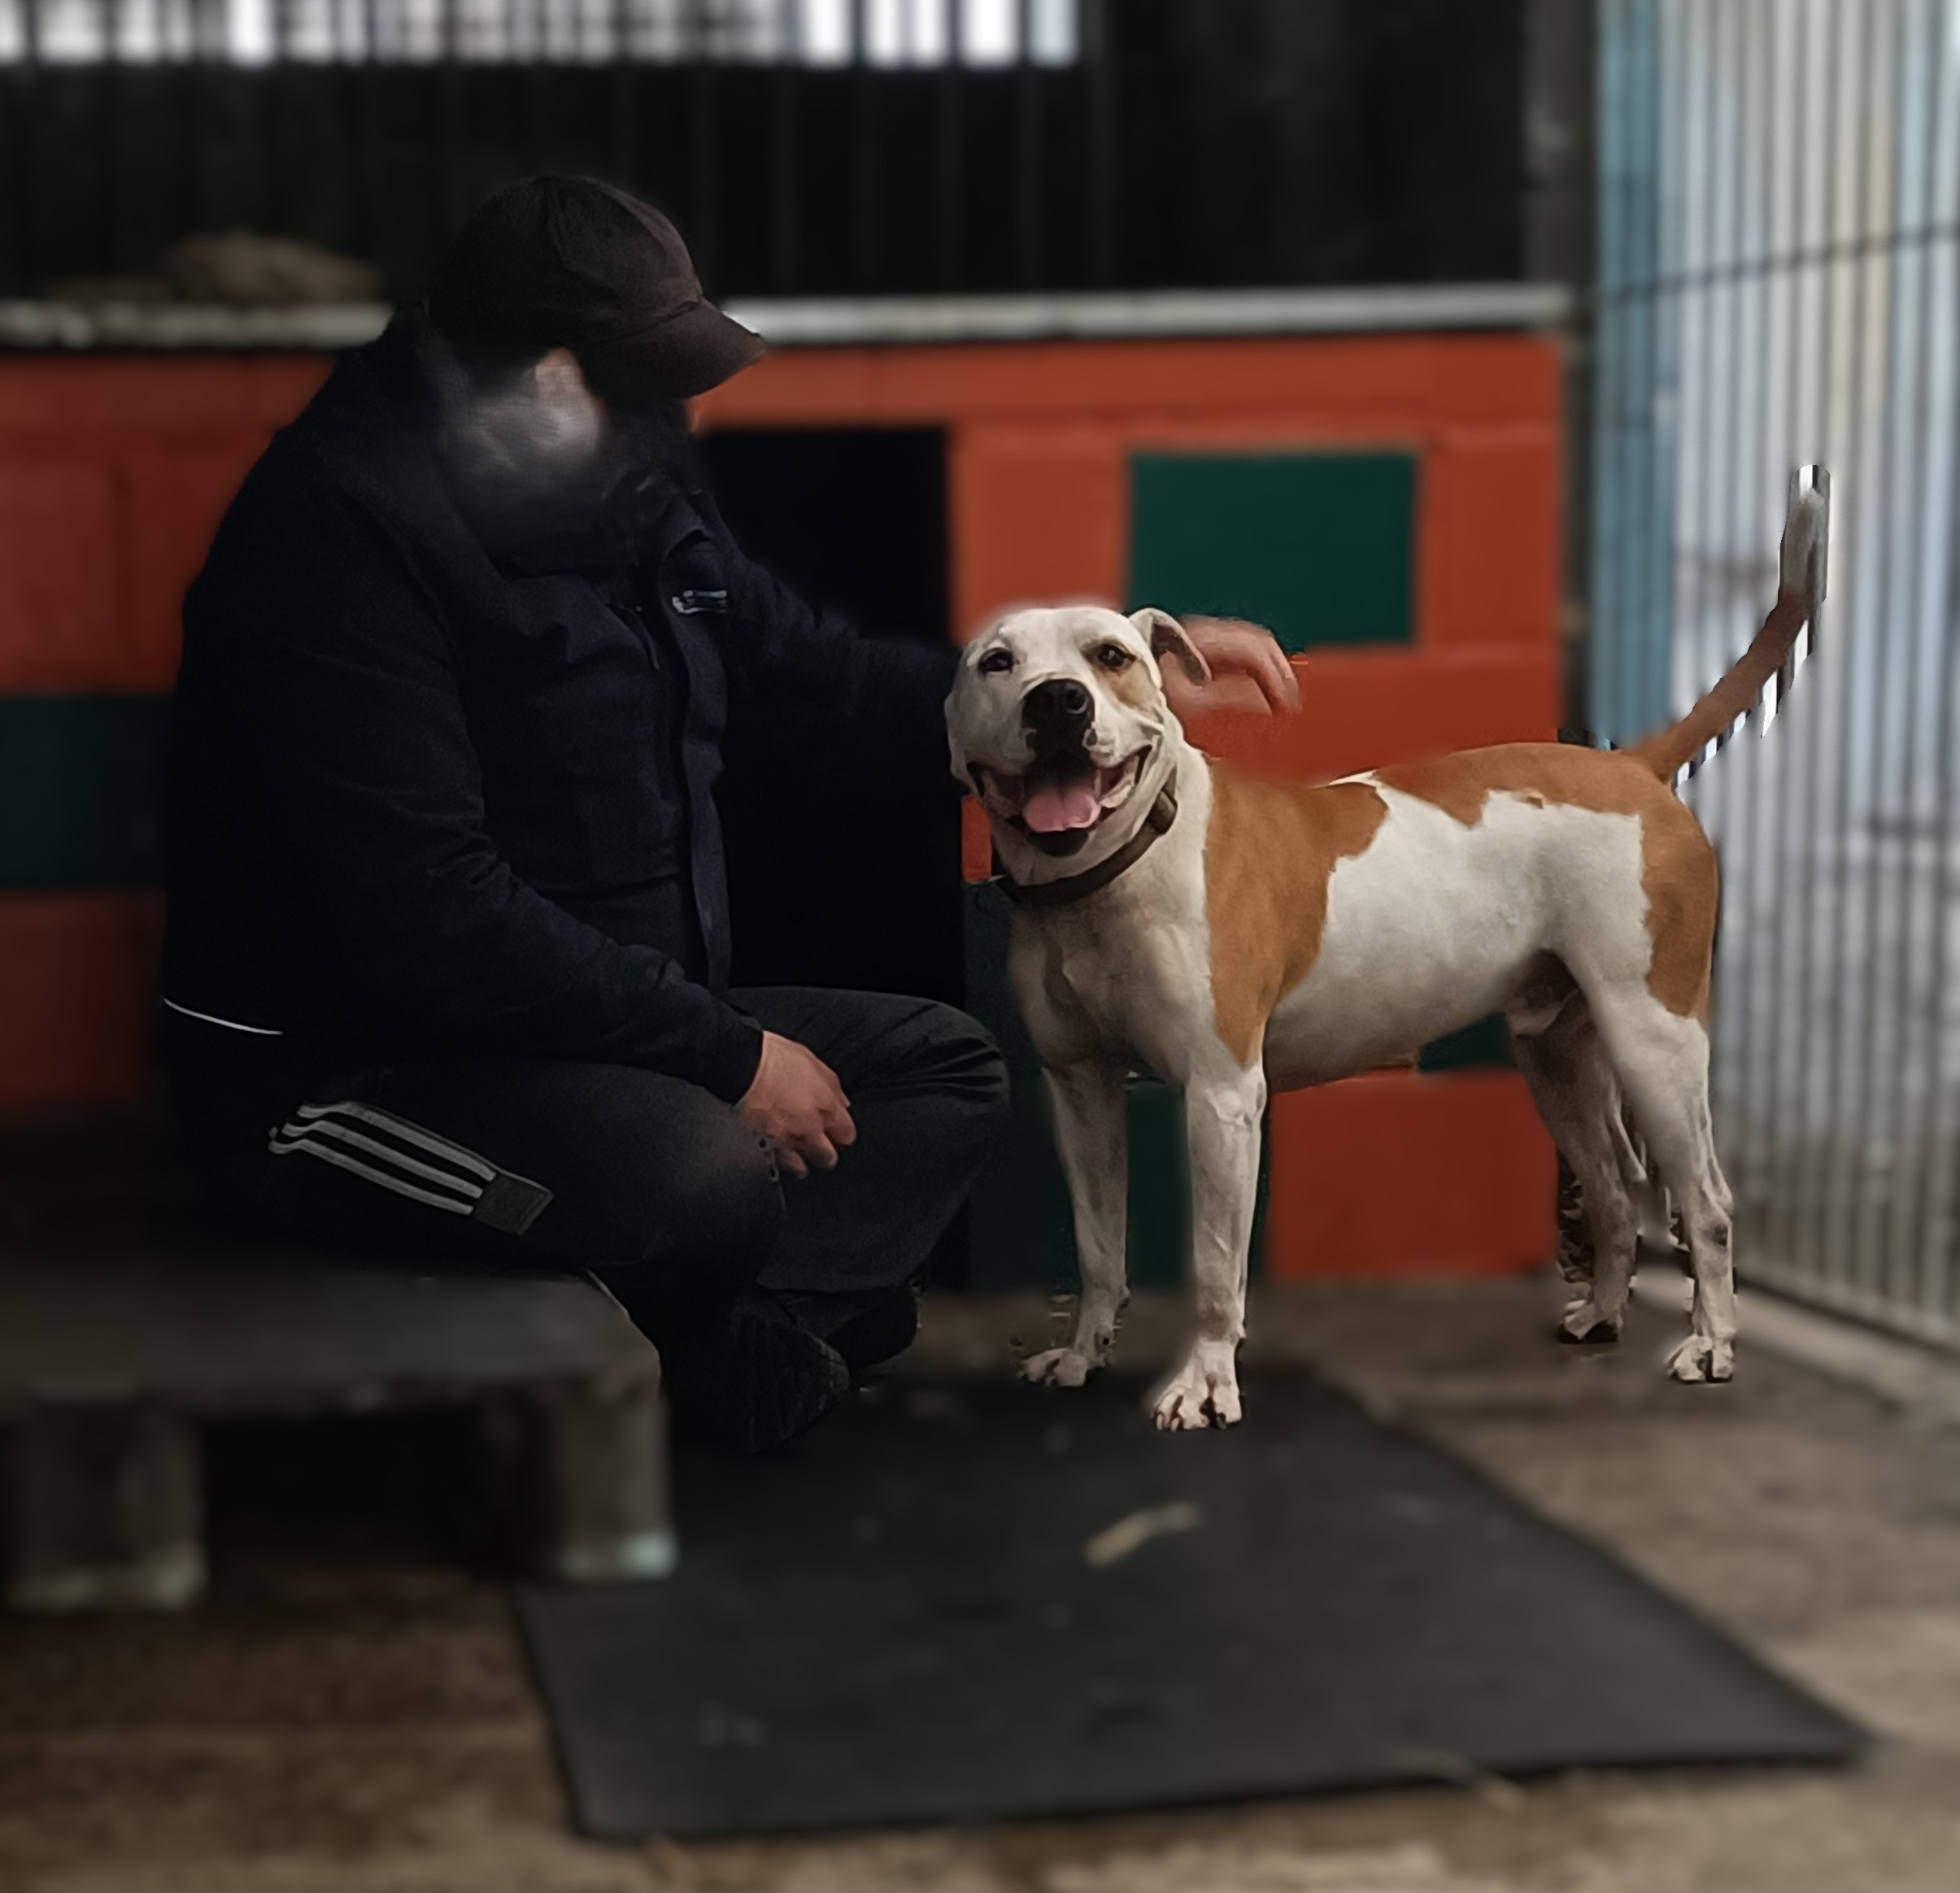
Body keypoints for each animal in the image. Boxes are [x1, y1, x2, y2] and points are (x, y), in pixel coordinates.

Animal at [945, 480, 1828, 1429]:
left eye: (1110, 656)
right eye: (996, 663)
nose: (1057, 702)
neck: (1112, 871)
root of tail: (1633, 767)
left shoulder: (1221, 1095)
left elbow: (1217, 1263)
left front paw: (1206, 1383)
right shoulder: (1079, 1092)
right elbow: (1098, 1244)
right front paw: (1082, 1354)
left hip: (1653, 1038)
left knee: (1705, 1200)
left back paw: (1711, 1343)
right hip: (1557, 1054)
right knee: (1616, 1181)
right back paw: (1601, 1311)